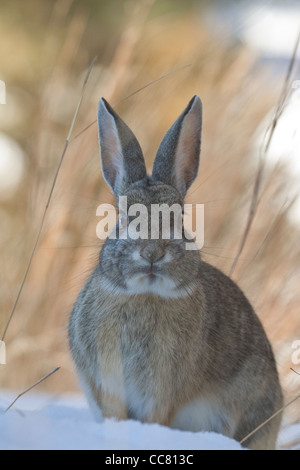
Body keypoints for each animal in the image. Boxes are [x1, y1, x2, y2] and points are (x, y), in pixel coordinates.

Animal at [68, 94, 284, 448]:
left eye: (179, 219)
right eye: (124, 218)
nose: (153, 254)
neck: (146, 294)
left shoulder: (161, 392)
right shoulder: (107, 386)